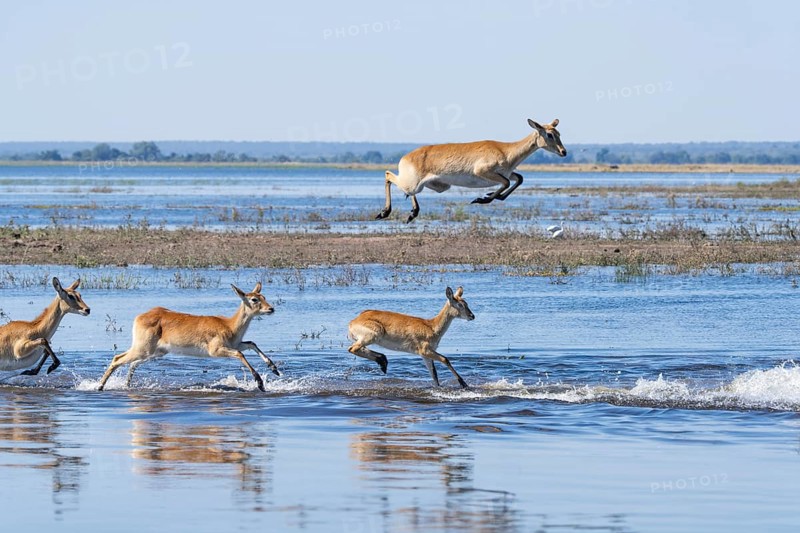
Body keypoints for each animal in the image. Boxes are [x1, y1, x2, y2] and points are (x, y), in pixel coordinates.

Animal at [97, 282, 280, 392]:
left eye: (264, 297)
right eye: (254, 299)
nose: (271, 309)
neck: (230, 326)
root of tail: (140, 316)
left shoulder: (235, 344)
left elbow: (251, 343)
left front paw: (274, 369)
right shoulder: (216, 351)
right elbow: (240, 353)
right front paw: (260, 383)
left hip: (155, 352)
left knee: (131, 363)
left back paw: (126, 386)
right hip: (143, 349)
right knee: (117, 359)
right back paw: (99, 386)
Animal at [377, 118, 567, 223]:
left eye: (559, 133)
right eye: (549, 134)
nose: (563, 152)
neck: (507, 151)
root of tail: (405, 157)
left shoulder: (506, 173)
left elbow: (518, 178)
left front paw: (490, 197)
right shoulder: (484, 171)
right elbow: (506, 183)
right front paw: (482, 198)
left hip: (435, 186)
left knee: (405, 189)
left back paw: (411, 214)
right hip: (412, 182)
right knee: (388, 174)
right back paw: (384, 212)